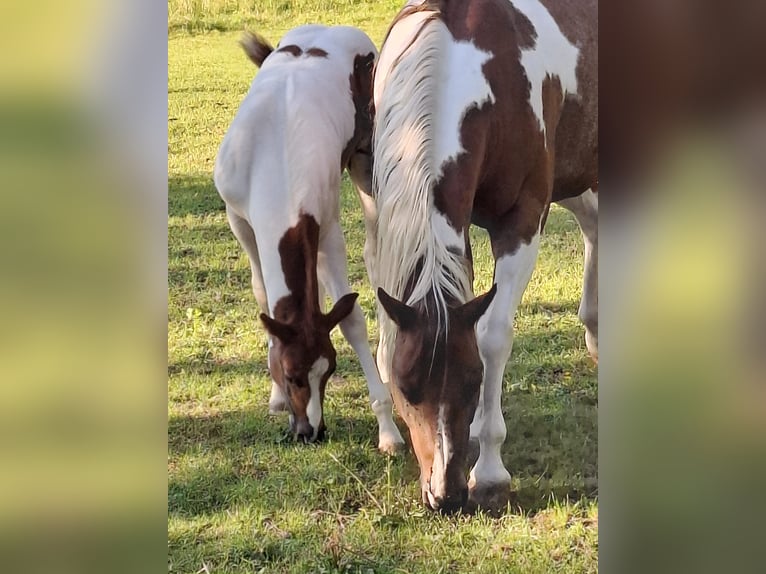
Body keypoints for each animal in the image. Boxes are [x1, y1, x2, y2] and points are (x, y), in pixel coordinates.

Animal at [213, 24, 404, 452]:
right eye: (290, 375)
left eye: (328, 371)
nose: (310, 431)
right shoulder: (239, 219)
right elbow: (263, 296)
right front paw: (276, 399)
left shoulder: (327, 224)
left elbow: (350, 318)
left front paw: (388, 428)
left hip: (366, 161)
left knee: (376, 252)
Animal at [372, 0, 600, 512]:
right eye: (405, 388)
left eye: (473, 381)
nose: (446, 495)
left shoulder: (522, 219)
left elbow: (494, 338)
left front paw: (490, 469)